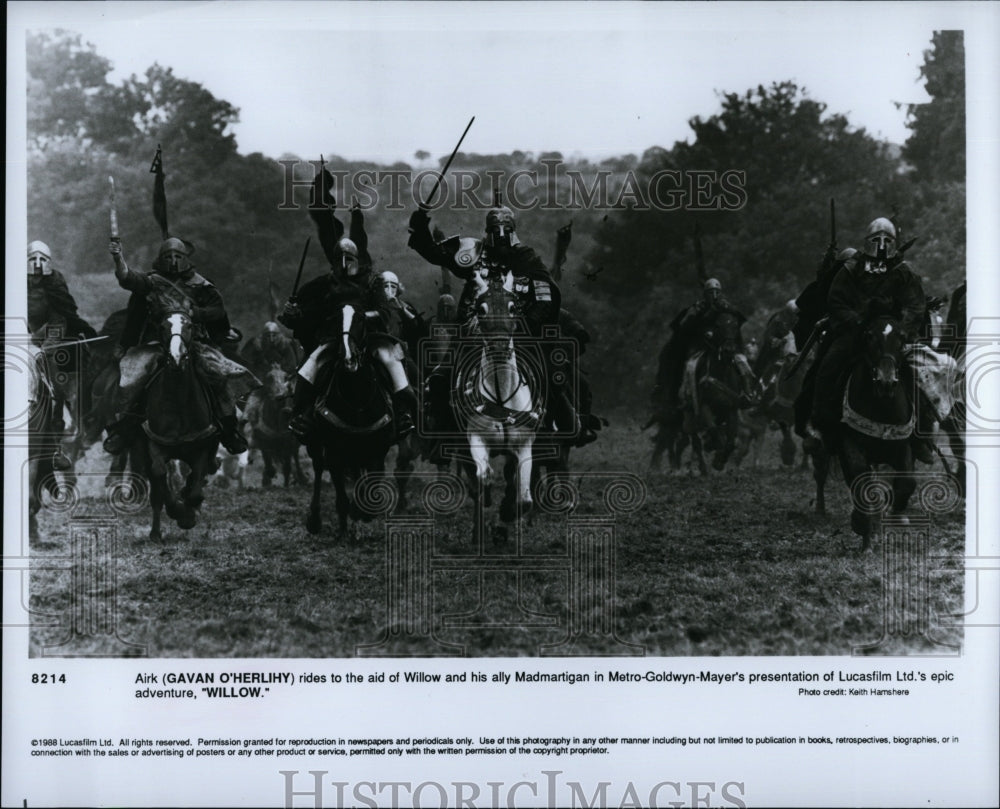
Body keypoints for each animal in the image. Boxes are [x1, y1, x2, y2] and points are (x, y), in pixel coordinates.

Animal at [126, 288, 220, 540]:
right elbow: (160, 477)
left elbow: (196, 485)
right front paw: (178, 510)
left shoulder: (202, 447)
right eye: (163, 327)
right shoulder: (154, 445)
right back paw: (156, 533)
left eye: (189, 325)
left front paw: (188, 514)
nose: (177, 358)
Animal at [824, 316, 916, 548]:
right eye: (869, 336)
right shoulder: (850, 444)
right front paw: (862, 524)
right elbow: (860, 480)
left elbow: (908, 481)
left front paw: (895, 515)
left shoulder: (903, 445)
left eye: (902, 339)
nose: (886, 382)